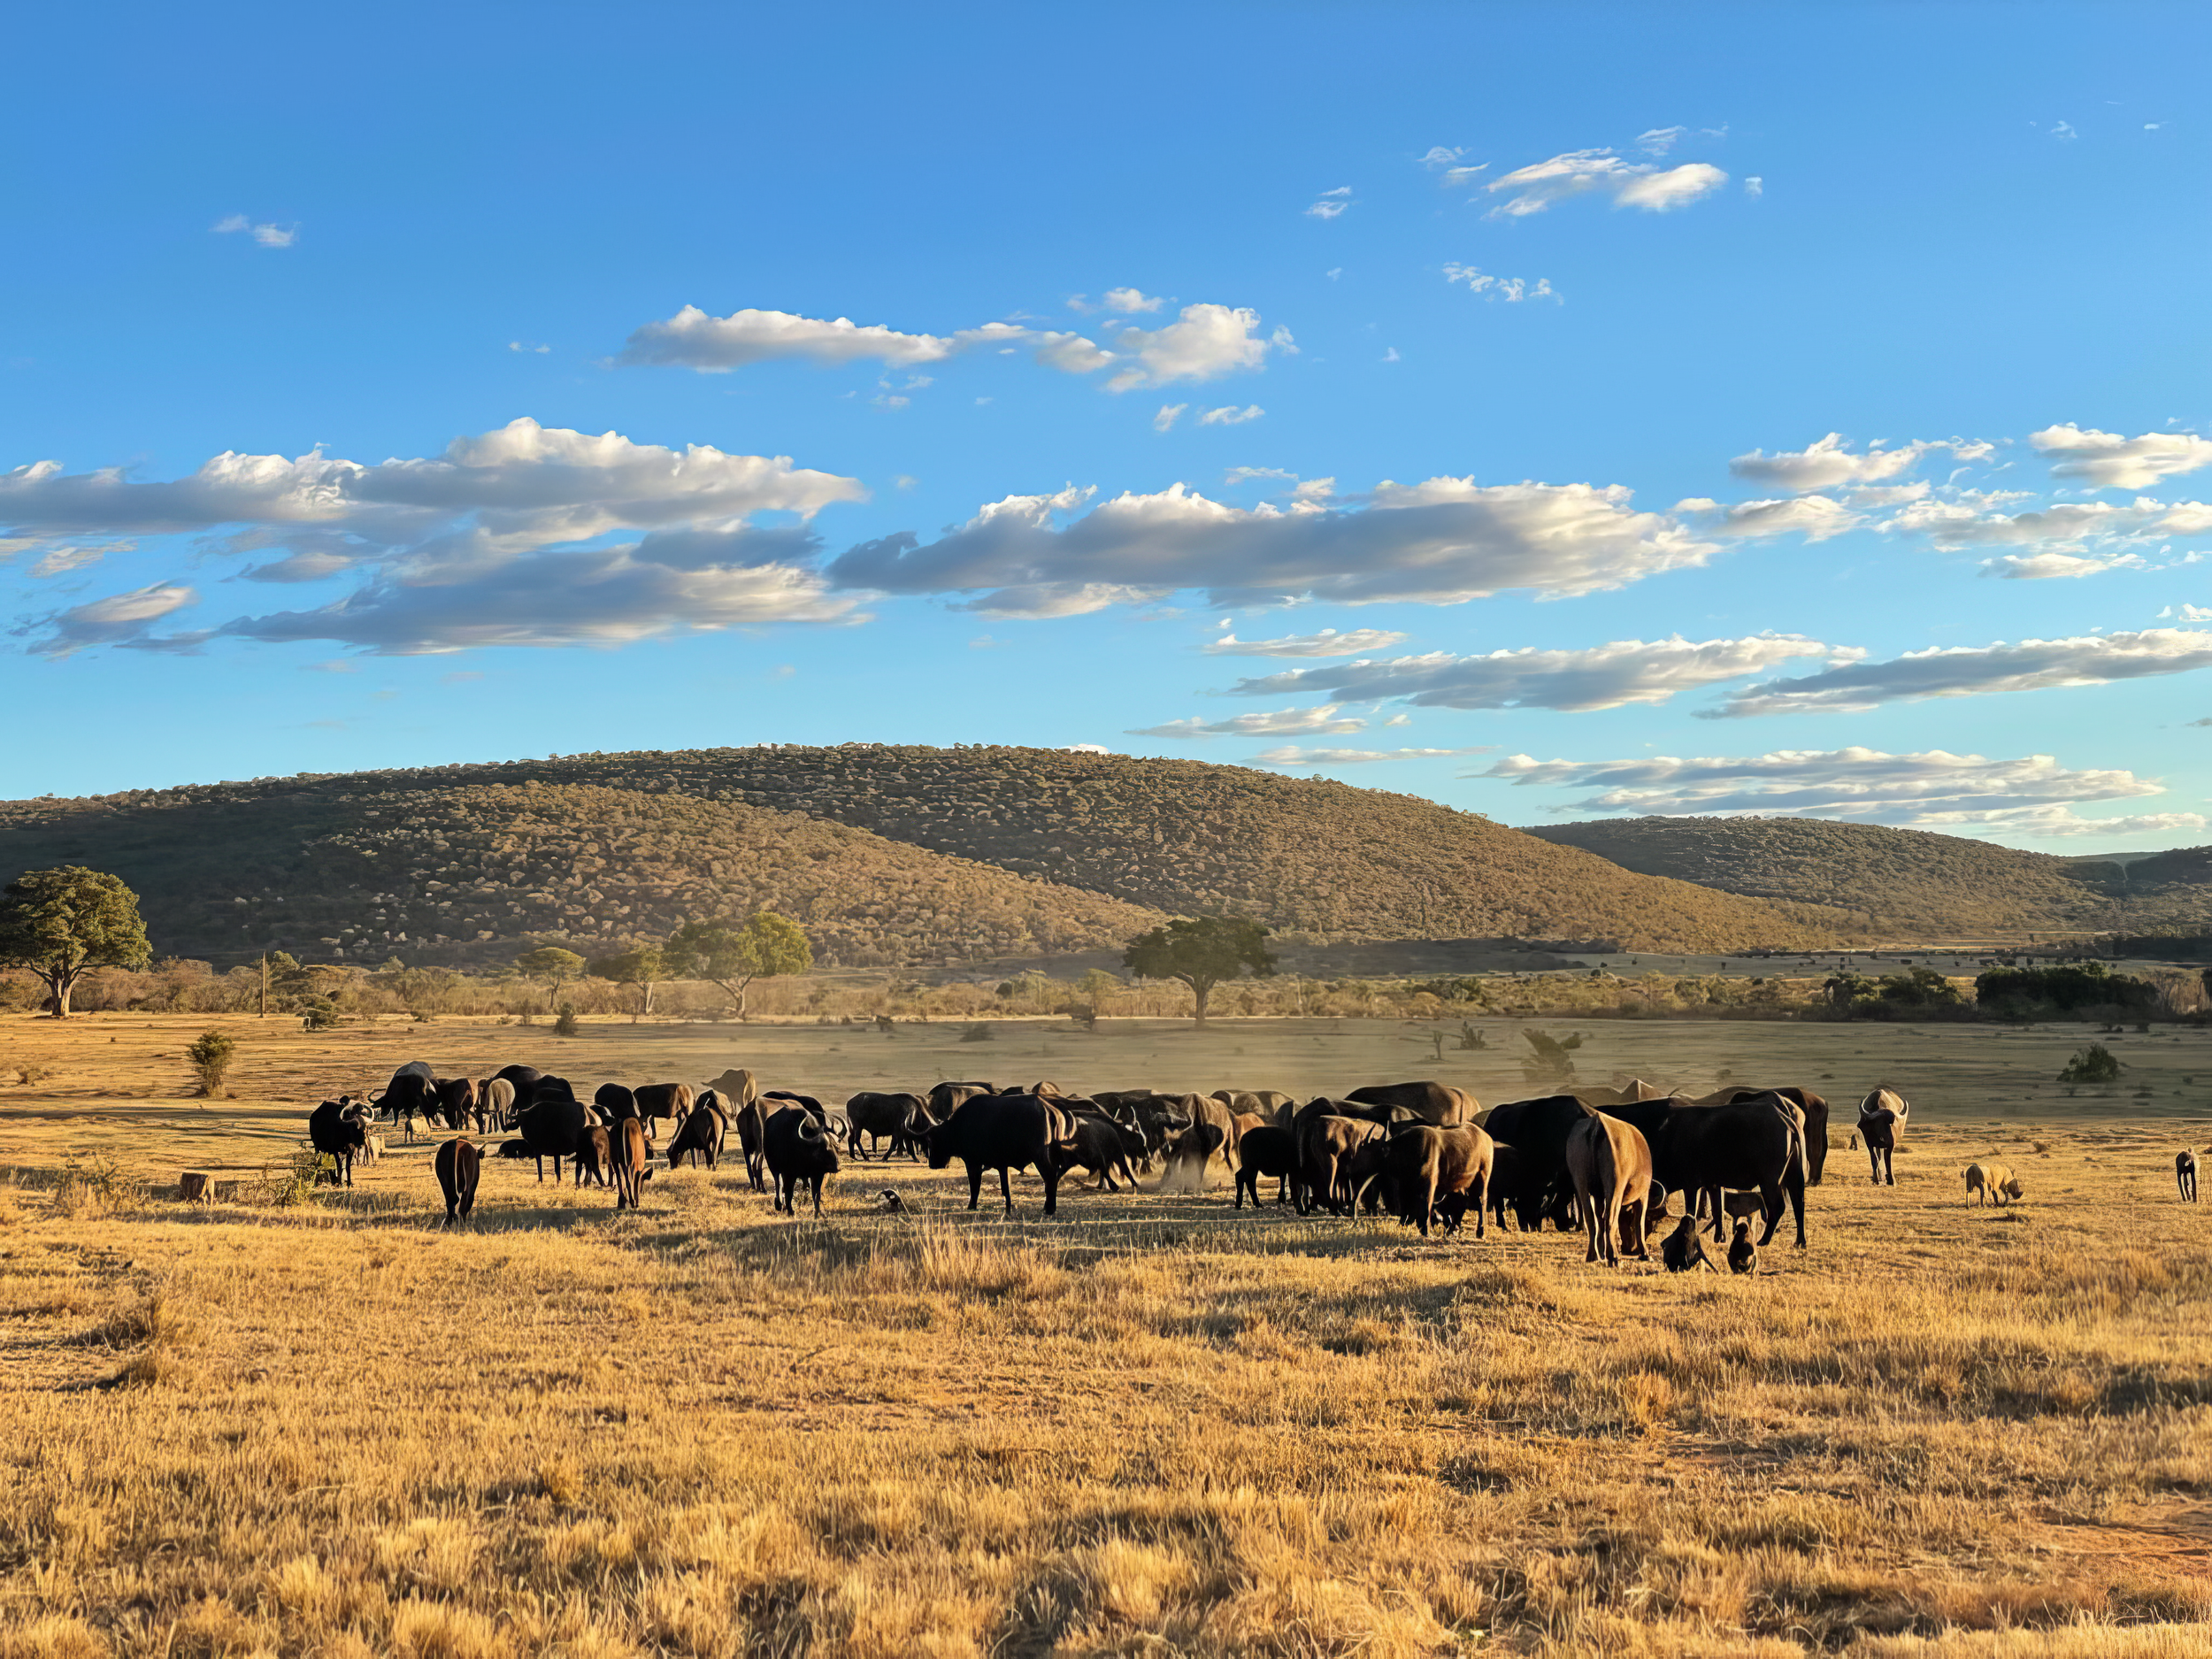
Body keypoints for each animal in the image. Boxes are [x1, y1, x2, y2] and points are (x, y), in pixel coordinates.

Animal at [909, 1092, 1070, 1217]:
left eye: (931, 1141)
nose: (932, 1164)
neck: (958, 1127)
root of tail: (1049, 1109)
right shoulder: (1001, 1165)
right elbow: (1005, 1188)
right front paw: (1008, 1208)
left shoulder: (972, 1162)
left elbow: (975, 1185)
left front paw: (972, 1205)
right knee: (1054, 1177)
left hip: (1040, 1157)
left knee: (1050, 1177)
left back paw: (1049, 1209)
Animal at [1566, 1107, 1656, 1267]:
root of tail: (1597, 1124)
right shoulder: (1643, 1196)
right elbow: (1639, 1223)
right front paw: (1645, 1254)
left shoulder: (1597, 1196)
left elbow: (1598, 1218)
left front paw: (1601, 1251)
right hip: (1615, 1185)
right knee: (1611, 1218)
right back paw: (1613, 1257)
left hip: (1581, 1183)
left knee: (1591, 1218)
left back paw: (1592, 1255)